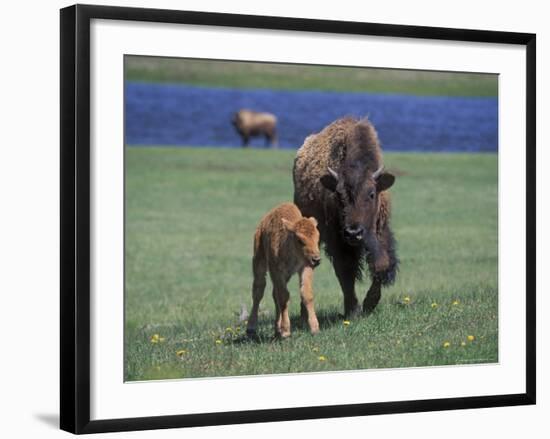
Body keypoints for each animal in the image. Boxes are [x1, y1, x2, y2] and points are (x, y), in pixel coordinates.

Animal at [247, 201, 324, 338]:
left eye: (317, 237)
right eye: (300, 240)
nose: (316, 259)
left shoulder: (305, 268)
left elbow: (306, 294)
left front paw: (315, 328)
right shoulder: (277, 271)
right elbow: (284, 296)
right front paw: (286, 331)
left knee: (274, 294)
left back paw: (277, 329)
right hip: (259, 260)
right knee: (258, 291)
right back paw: (251, 328)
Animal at [296, 117, 398, 318]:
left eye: (372, 194)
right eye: (338, 195)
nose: (353, 233)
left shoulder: (380, 231)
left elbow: (381, 264)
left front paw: (369, 304)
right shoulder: (338, 241)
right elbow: (345, 272)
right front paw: (353, 310)